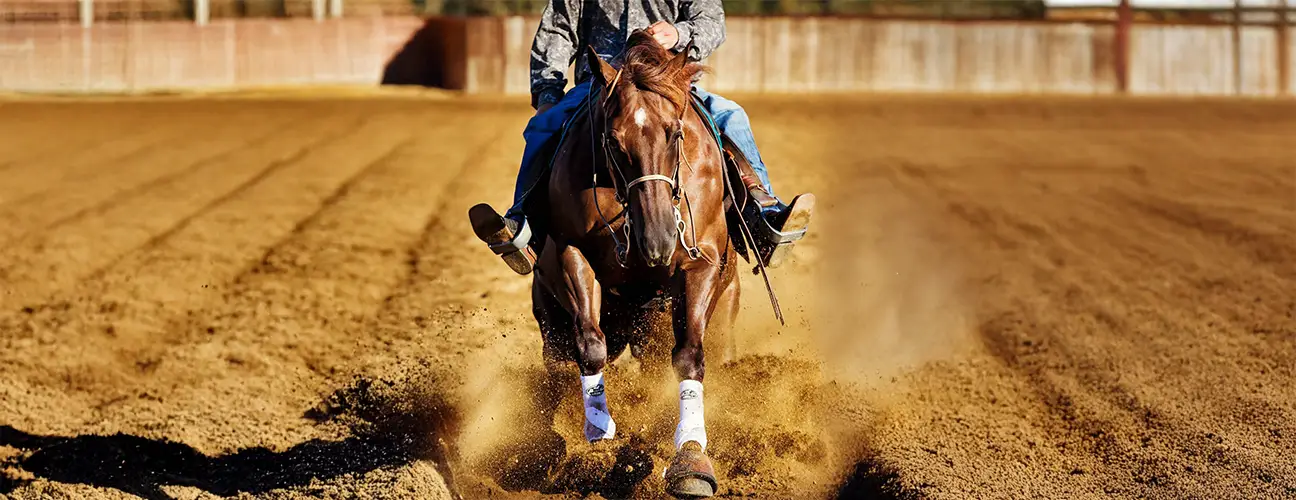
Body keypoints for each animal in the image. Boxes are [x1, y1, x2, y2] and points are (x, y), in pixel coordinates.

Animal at [520, 31, 744, 497]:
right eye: (612, 141)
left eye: (675, 133)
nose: (657, 241)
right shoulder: (571, 254)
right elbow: (591, 349)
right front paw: (596, 441)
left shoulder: (702, 264)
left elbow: (689, 357)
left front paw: (691, 458)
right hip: (550, 321)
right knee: (559, 367)